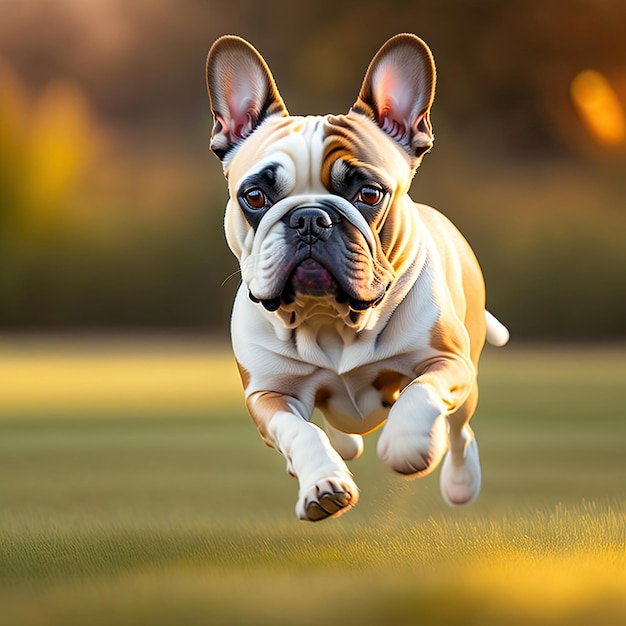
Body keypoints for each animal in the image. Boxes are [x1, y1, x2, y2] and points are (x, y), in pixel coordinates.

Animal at [205, 35, 508, 520]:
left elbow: (421, 393)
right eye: (253, 196)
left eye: (369, 193)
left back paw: (459, 480)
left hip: (469, 375)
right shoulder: (268, 396)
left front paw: (407, 444)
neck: (331, 321)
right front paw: (322, 484)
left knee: (460, 429)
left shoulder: (446, 361)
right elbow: (302, 432)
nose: (310, 218)